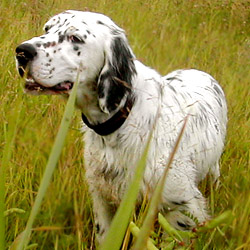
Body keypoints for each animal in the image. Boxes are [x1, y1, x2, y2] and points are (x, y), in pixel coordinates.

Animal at [15, 10, 227, 244]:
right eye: (47, 28)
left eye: (75, 38)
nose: (22, 52)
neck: (123, 118)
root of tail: (202, 73)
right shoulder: (103, 199)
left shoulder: (183, 205)